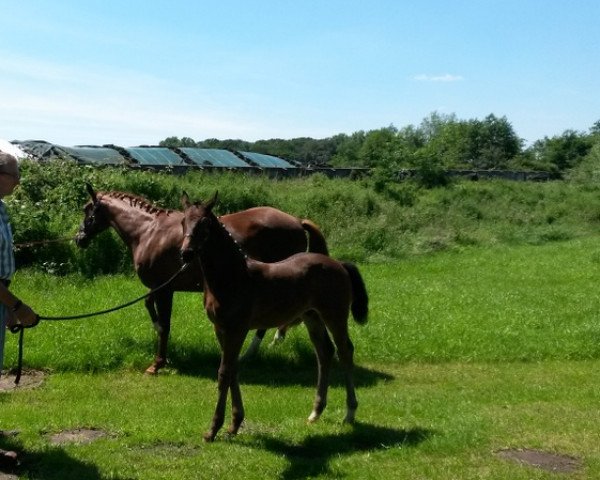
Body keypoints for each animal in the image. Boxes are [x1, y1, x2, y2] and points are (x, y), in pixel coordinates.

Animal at [76, 185, 328, 376]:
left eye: (87, 210)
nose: (79, 238)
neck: (150, 231)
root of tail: (296, 221)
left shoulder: (165, 289)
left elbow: (164, 325)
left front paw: (158, 363)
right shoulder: (159, 287)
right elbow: (149, 306)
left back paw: (252, 352)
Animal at [179, 192, 366, 442]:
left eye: (205, 224)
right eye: (183, 222)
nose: (186, 253)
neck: (234, 277)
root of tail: (339, 264)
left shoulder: (237, 328)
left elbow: (224, 372)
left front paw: (213, 429)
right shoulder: (221, 328)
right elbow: (233, 369)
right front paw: (235, 424)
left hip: (334, 315)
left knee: (345, 351)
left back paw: (349, 412)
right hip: (312, 317)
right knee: (325, 352)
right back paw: (315, 412)